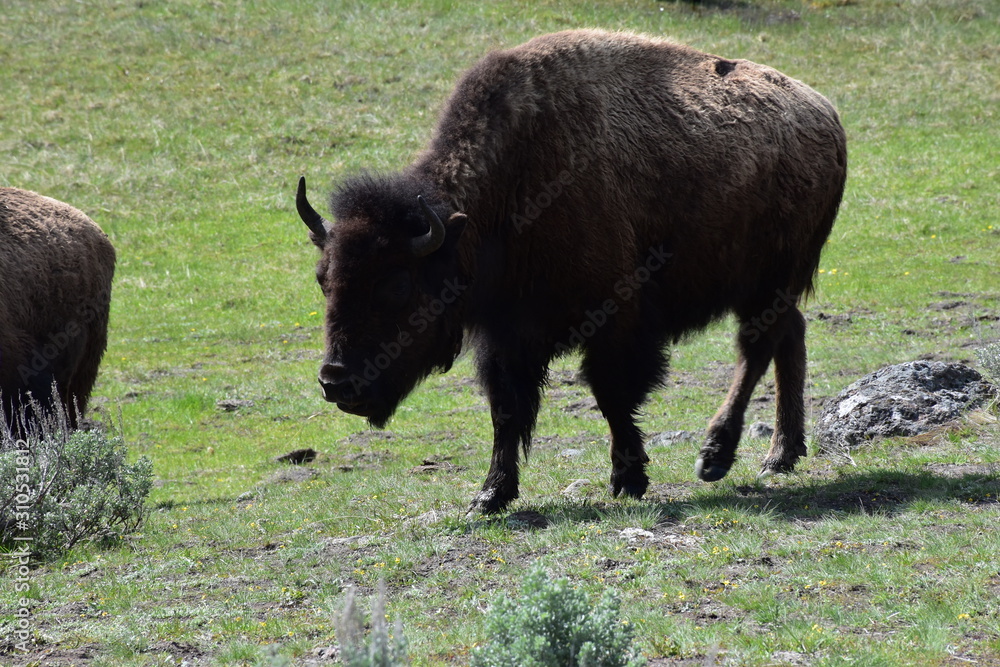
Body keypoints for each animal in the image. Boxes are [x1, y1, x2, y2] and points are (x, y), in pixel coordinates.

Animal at [297, 29, 847, 513]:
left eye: (396, 285)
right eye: (323, 279)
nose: (336, 382)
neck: (507, 192)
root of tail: (826, 113)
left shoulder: (614, 317)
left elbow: (610, 392)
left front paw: (628, 478)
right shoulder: (505, 335)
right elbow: (507, 409)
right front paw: (490, 495)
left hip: (767, 282)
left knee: (755, 350)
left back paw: (715, 457)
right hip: (770, 287)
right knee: (789, 336)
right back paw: (781, 455)